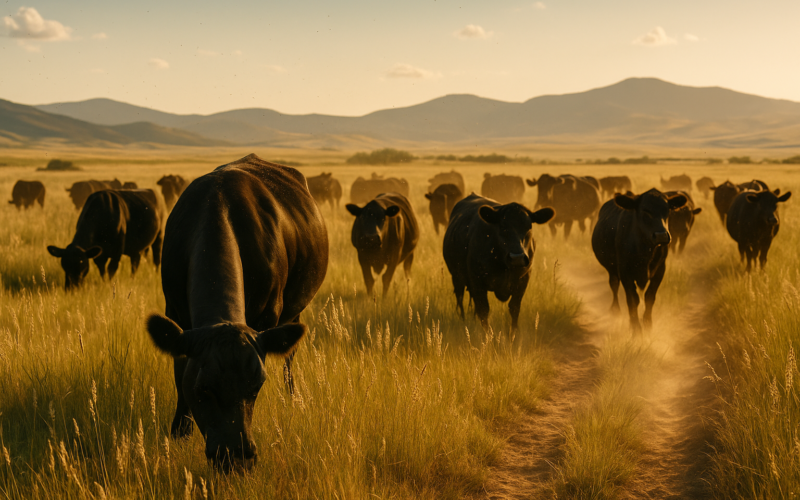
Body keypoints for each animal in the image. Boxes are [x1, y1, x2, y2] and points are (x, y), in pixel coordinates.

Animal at [144, 154, 328, 472]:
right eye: (203, 388)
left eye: (257, 386)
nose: (235, 457)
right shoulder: (175, 315)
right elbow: (179, 377)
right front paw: (179, 432)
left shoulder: (268, 318)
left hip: (295, 311)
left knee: (289, 360)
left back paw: (293, 398)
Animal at [443, 194, 554, 331]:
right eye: (502, 227)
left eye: (529, 227)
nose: (517, 257)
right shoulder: (477, 280)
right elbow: (484, 310)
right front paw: (488, 335)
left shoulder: (523, 280)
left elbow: (514, 308)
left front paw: (513, 335)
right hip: (457, 277)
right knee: (460, 298)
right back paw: (463, 321)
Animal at [591, 189, 687, 333]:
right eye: (645, 211)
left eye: (667, 210)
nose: (661, 236)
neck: (645, 251)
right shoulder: (625, 272)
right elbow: (632, 299)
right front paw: (635, 328)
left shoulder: (660, 270)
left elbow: (649, 297)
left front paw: (647, 324)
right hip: (612, 270)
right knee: (614, 285)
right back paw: (615, 310)